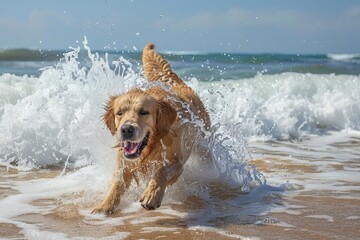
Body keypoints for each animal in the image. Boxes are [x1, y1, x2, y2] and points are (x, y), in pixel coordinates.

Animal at [91, 43, 211, 214]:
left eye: (143, 112)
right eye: (119, 113)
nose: (126, 129)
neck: (150, 147)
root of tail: (175, 82)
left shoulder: (177, 162)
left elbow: (162, 170)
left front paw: (152, 195)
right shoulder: (124, 164)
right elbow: (116, 185)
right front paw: (104, 207)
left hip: (204, 145)